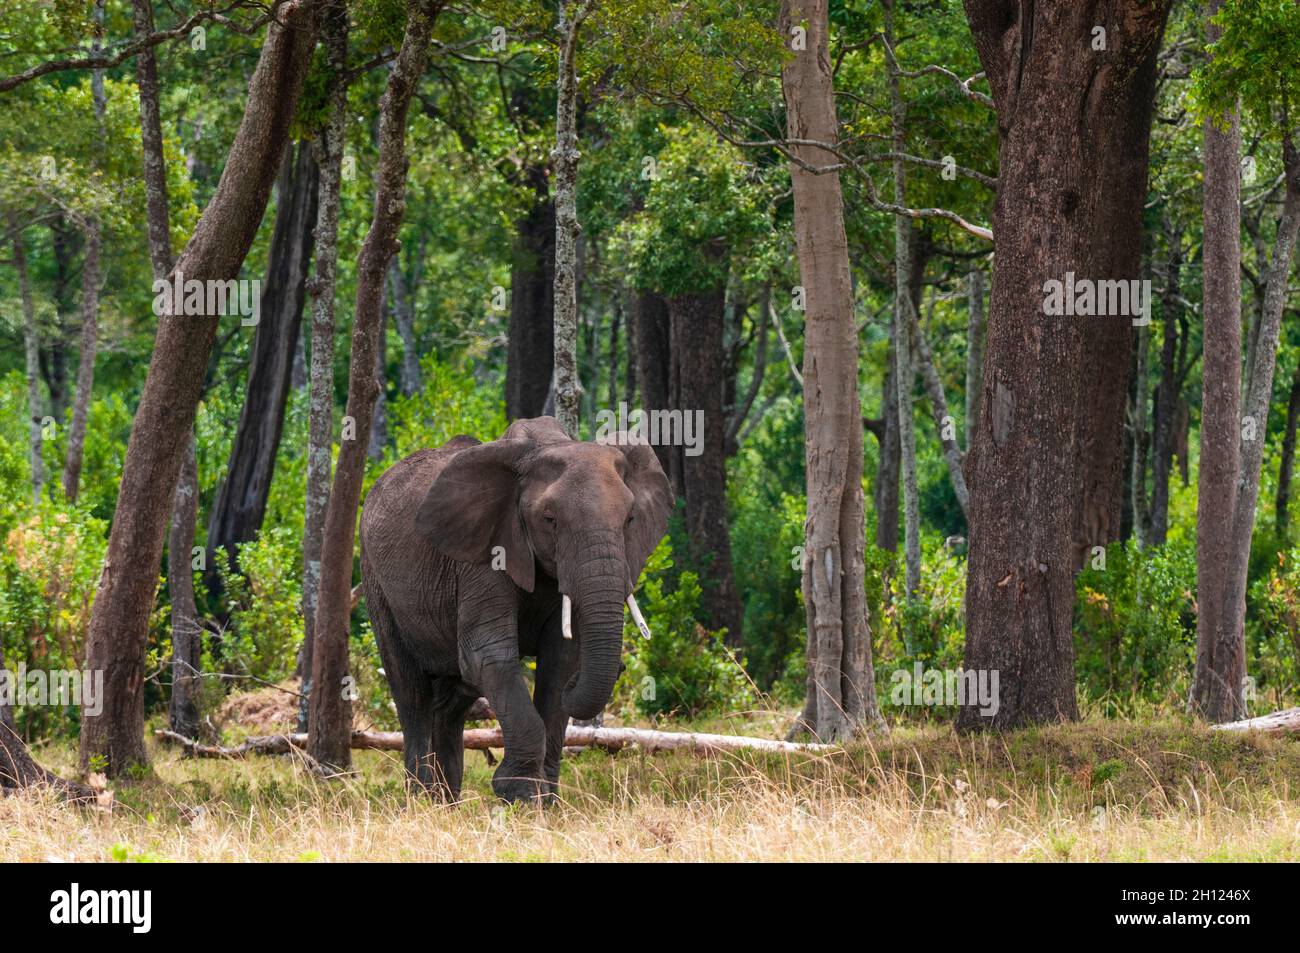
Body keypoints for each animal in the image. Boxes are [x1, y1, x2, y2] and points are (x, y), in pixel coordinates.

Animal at [364, 416, 676, 800]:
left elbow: (561, 661)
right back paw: (421, 800)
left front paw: (547, 800)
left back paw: (445, 801)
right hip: (377, 583)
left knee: (451, 703)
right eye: (549, 519)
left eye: (630, 519)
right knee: (411, 693)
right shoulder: (484, 553)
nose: (620, 667)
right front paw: (519, 795)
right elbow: (489, 656)